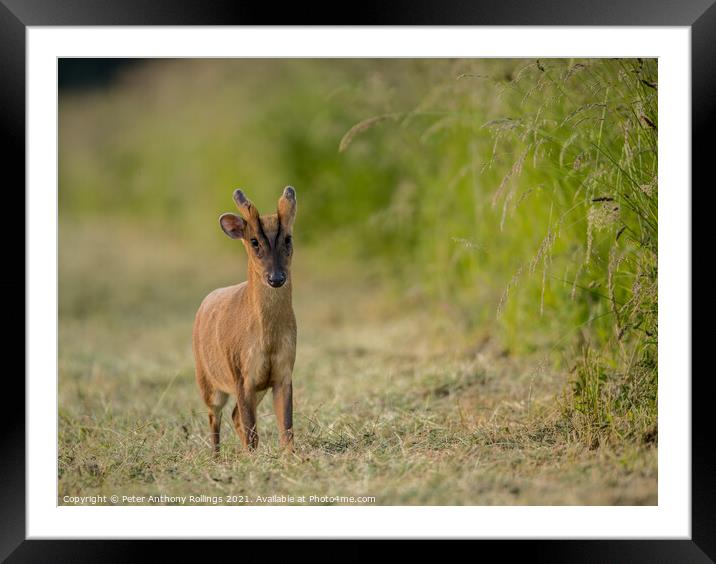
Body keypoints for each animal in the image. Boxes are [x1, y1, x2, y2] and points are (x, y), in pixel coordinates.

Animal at [192, 187, 298, 456]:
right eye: (254, 241)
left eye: (288, 238)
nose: (276, 277)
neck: (267, 339)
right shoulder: (240, 372)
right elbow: (252, 431)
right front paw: (252, 459)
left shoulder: (283, 372)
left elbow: (286, 427)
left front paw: (290, 457)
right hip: (206, 380)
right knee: (214, 416)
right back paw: (216, 457)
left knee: (234, 415)